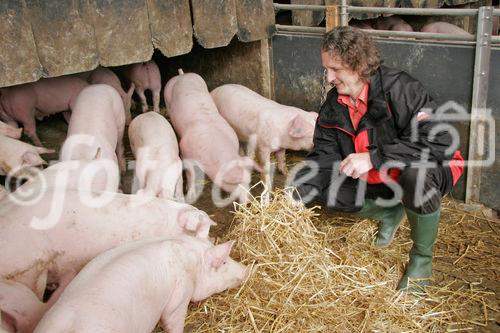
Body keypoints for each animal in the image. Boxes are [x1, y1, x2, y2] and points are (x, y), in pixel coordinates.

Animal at [166, 71, 256, 204]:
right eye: (235, 183)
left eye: (249, 181)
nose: (249, 201)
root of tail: (182, 75)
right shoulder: (186, 152)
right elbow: (191, 174)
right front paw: (191, 195)